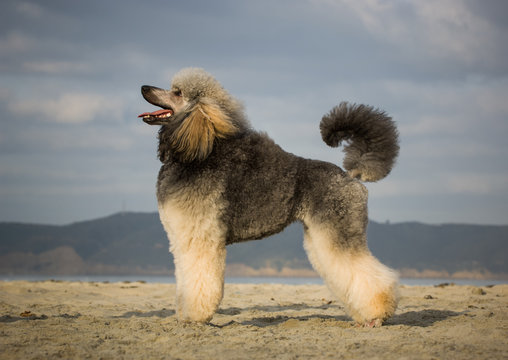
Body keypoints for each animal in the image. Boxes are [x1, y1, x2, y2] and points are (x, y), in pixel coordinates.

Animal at [139, 67, 400, 326]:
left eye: (177, 92)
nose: (144, 88)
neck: (199, 155)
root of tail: (350, 176)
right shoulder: (183, 238)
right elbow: (184, 278)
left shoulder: (201, 237)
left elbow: (198, 279)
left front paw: (195, 317)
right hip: (320, 236)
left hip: (340, 230)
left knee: (367, 273)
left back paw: (376, 315)